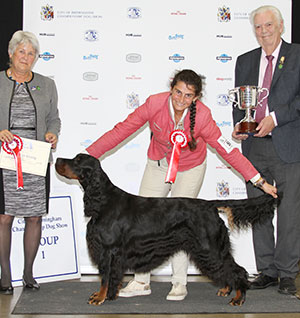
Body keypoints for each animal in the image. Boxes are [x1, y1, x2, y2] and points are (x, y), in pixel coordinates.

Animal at [55, 153, 278, 306]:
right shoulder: (113, 254)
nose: (57, 159)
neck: (103, 200)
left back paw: (239, 297)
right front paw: (109, 295)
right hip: (211, 249)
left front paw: (100, 297)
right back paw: (226, 289)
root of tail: (209, 205)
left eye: (77, 160)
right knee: (227, 268)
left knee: (237, 270)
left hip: (209, 248)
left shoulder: (108, 250)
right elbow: (112, 277)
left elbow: (105, 277)